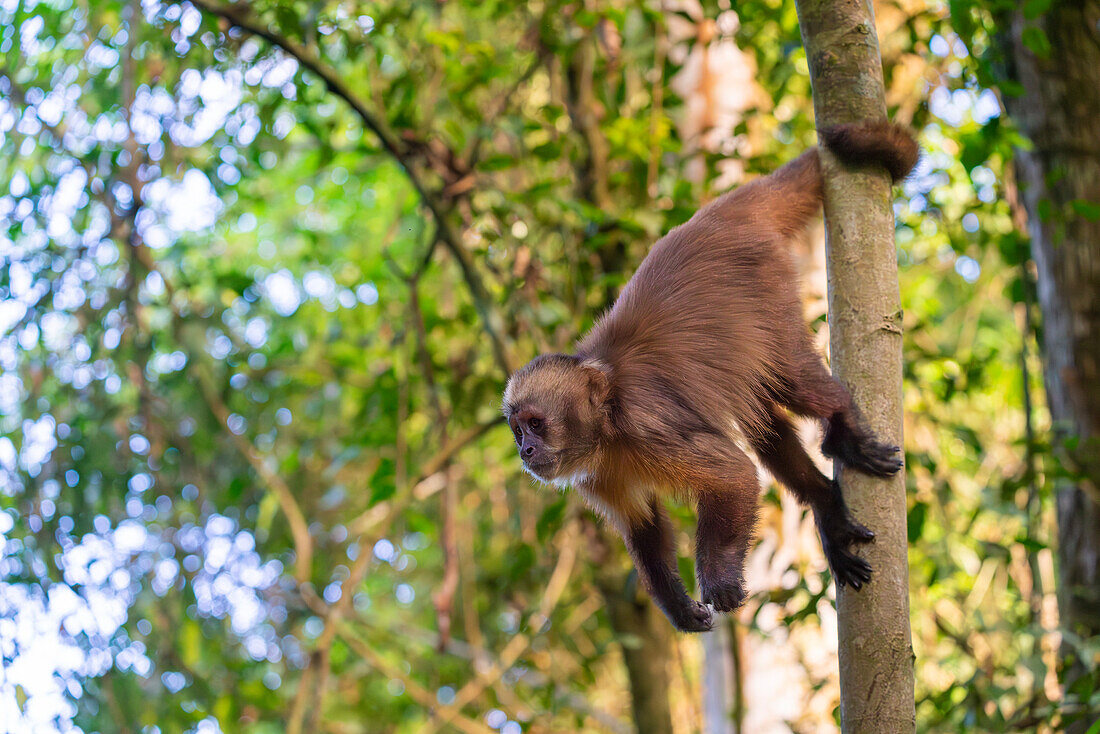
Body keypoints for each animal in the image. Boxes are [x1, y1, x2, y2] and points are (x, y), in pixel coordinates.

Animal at [503, 120, 919, 633]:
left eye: (536, 424)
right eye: (518, 430)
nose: (525, 451)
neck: (608, 425)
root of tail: (717, 216)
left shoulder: (649, 427)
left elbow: (734, 477)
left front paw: (718, 576)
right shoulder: (593, 473)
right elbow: (646, 528)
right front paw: (678, 608)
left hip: (766, 287)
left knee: (793, 381)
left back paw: (844, 433)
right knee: (763, 420)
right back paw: (826, 505)